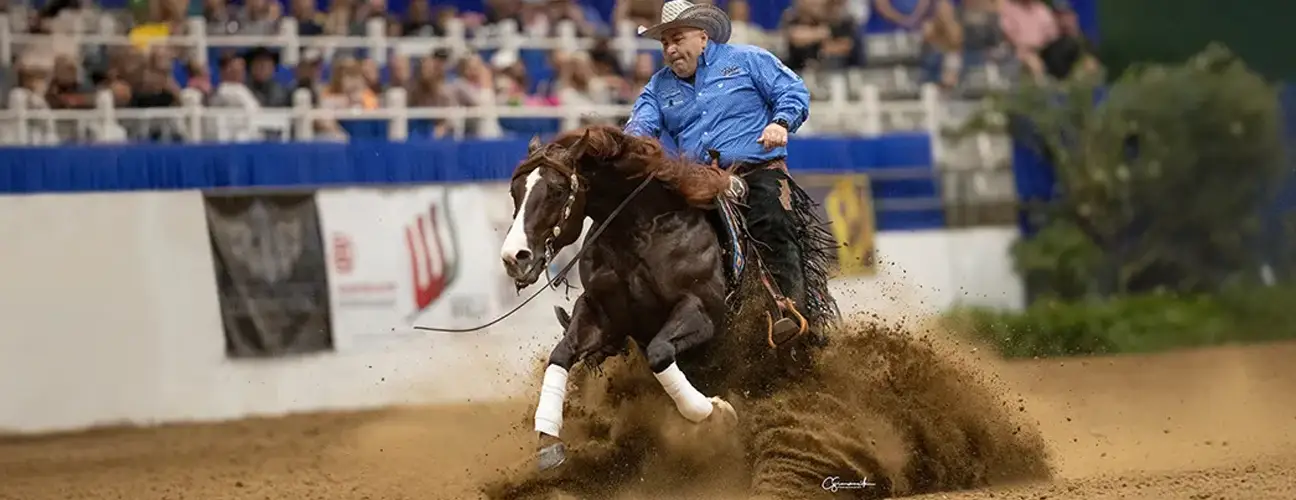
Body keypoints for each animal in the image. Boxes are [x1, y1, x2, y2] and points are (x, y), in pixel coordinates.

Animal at [498, 125, 839, 471]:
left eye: (556, 190)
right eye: (515, 192)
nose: (514, 257)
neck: (641, 230)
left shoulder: (701, 312)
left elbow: (660, 354)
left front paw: (715, 413)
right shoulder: (602, 314)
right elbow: (561, 355)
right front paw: (547, 441)